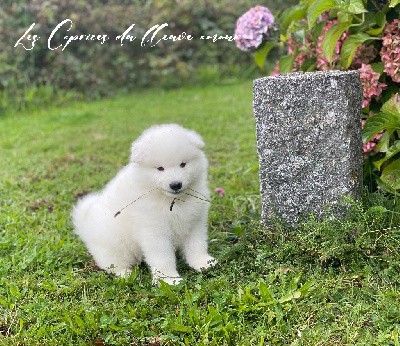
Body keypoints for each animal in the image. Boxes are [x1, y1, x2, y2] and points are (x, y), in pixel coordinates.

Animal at [72, 123, 216, 284]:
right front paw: (169, 279)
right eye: (160, 168)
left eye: (183, 164)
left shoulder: (194, 223)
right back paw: (126, 274)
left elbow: (197, 245)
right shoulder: (153, 231)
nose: (175, 184)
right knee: (112, 264)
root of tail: (85, 224)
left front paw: (203, 263)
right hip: (115, 245)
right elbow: (163, 258)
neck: (170, 201)